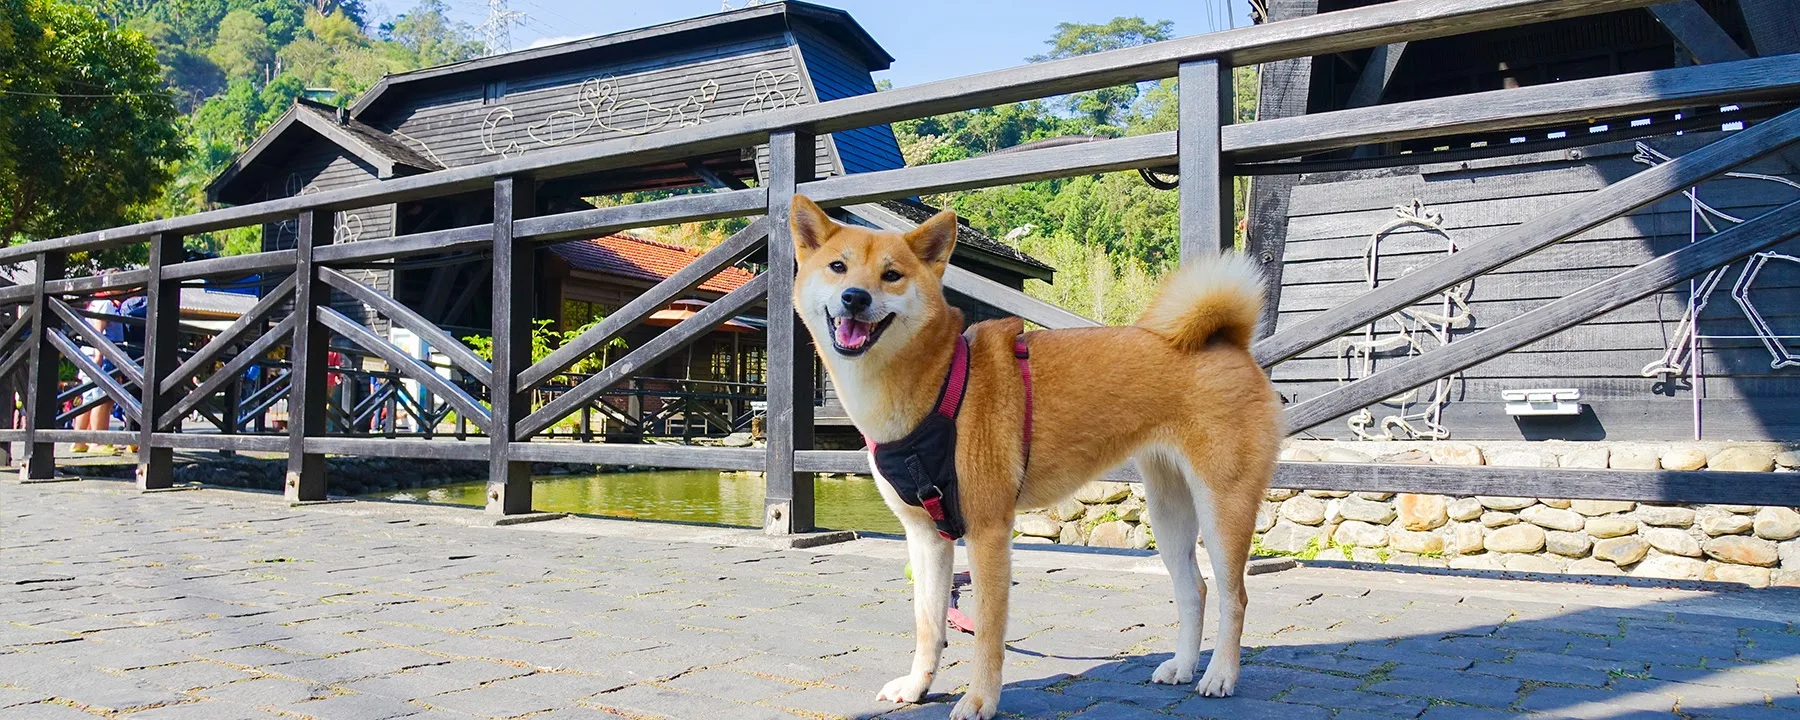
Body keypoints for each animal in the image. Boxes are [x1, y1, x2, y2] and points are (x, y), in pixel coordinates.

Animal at [788, 194, 1281, 716]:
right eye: (838, 267)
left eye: (891, 275)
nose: (855, 298)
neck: (934, 381)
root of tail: (1227, 339)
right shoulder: (926, 535)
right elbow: (928, 625)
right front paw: (917, 687)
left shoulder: (987, 531)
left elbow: (987, 633)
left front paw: (980, 699)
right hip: (1170, 511)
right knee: (1195, 591)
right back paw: (1183, 667)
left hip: (1222, 505)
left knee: (1234, 595)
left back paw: (1220, 674)